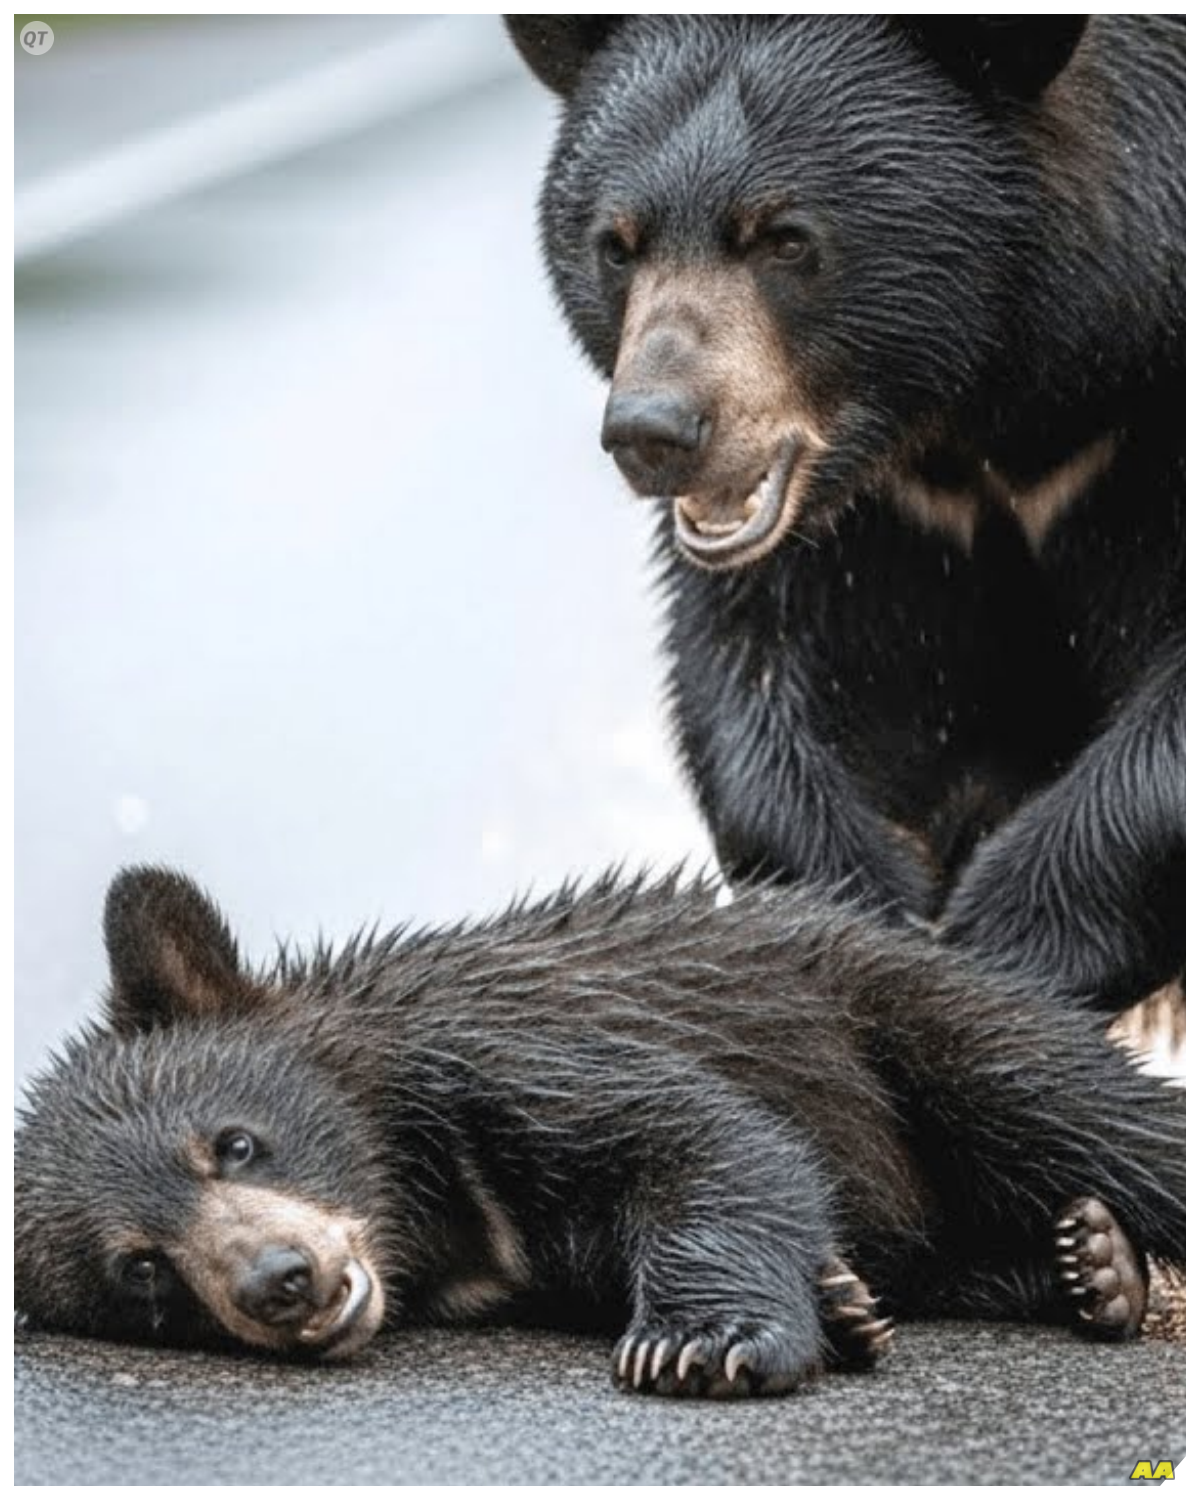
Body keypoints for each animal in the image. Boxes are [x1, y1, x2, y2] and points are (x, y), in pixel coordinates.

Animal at [16, 865, 1184, 1396]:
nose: (281, 1281)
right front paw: (841, 1306)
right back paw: (1091, 1263)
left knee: (1078, 1110)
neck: (432, 1222)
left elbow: (689, 1131)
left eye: (233, 1142)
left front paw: (702, 1342)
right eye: (141, 1270)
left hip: (909, 1014)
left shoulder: (497, 1055)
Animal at [503, 15, 1184, 1014]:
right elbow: (761, 678)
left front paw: (1017, 928)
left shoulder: (1134, 432)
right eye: (617, 244)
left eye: (785, 240)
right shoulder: (875, 524)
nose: (654, 431)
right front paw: (861, 907)